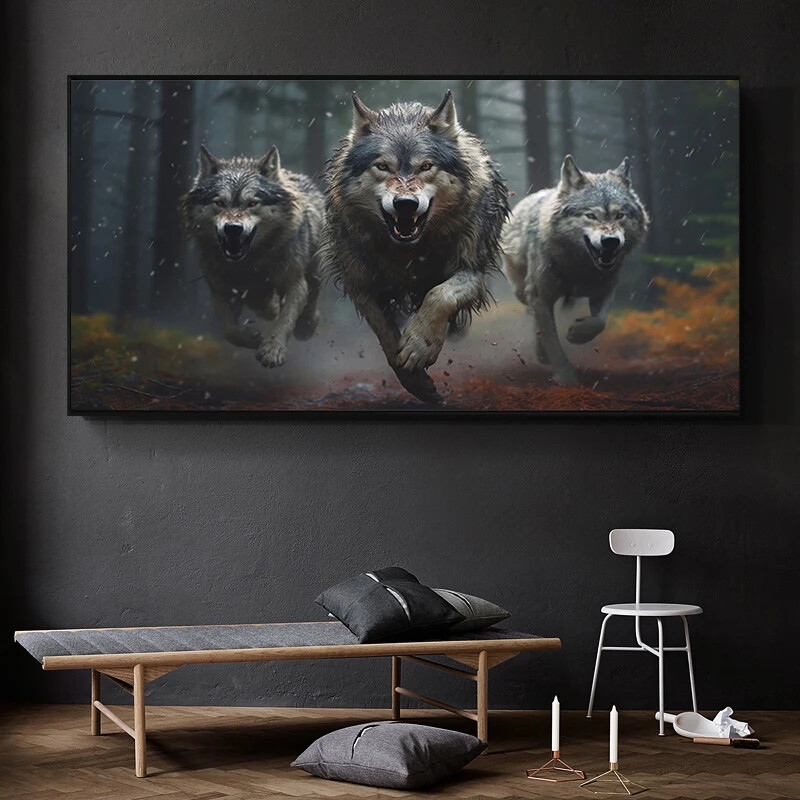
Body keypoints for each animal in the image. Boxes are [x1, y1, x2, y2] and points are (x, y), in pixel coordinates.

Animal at [181, 145, 323, 368]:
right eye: (219, 203)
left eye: (252, 203)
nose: (233, 228)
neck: (249, 264)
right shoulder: (220, 290)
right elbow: (230, 330)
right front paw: (253, 339)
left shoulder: (295, 283)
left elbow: (285, 321)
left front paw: (272, 350)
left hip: (314, 270)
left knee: (313, 295)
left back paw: (306, 325)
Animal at [321, 90, 509, 403]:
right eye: (382, 166)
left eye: (426, 166)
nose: (405, 204)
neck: (409, 252)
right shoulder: (362, 286)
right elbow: (385, 334)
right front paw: (416, 382)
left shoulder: (471, 271)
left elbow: (440, 295)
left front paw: (420, 346)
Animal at [502, 154, 650, 386]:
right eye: (591, 215)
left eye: (620, 215)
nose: (610, 241)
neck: (579, 268)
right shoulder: (541, 296)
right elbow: (554, 344)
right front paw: (567, 379)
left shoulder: (604, 291)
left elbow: (599, 322)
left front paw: (577, 334)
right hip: (523, 291)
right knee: (534, 317)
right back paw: (541, 352)